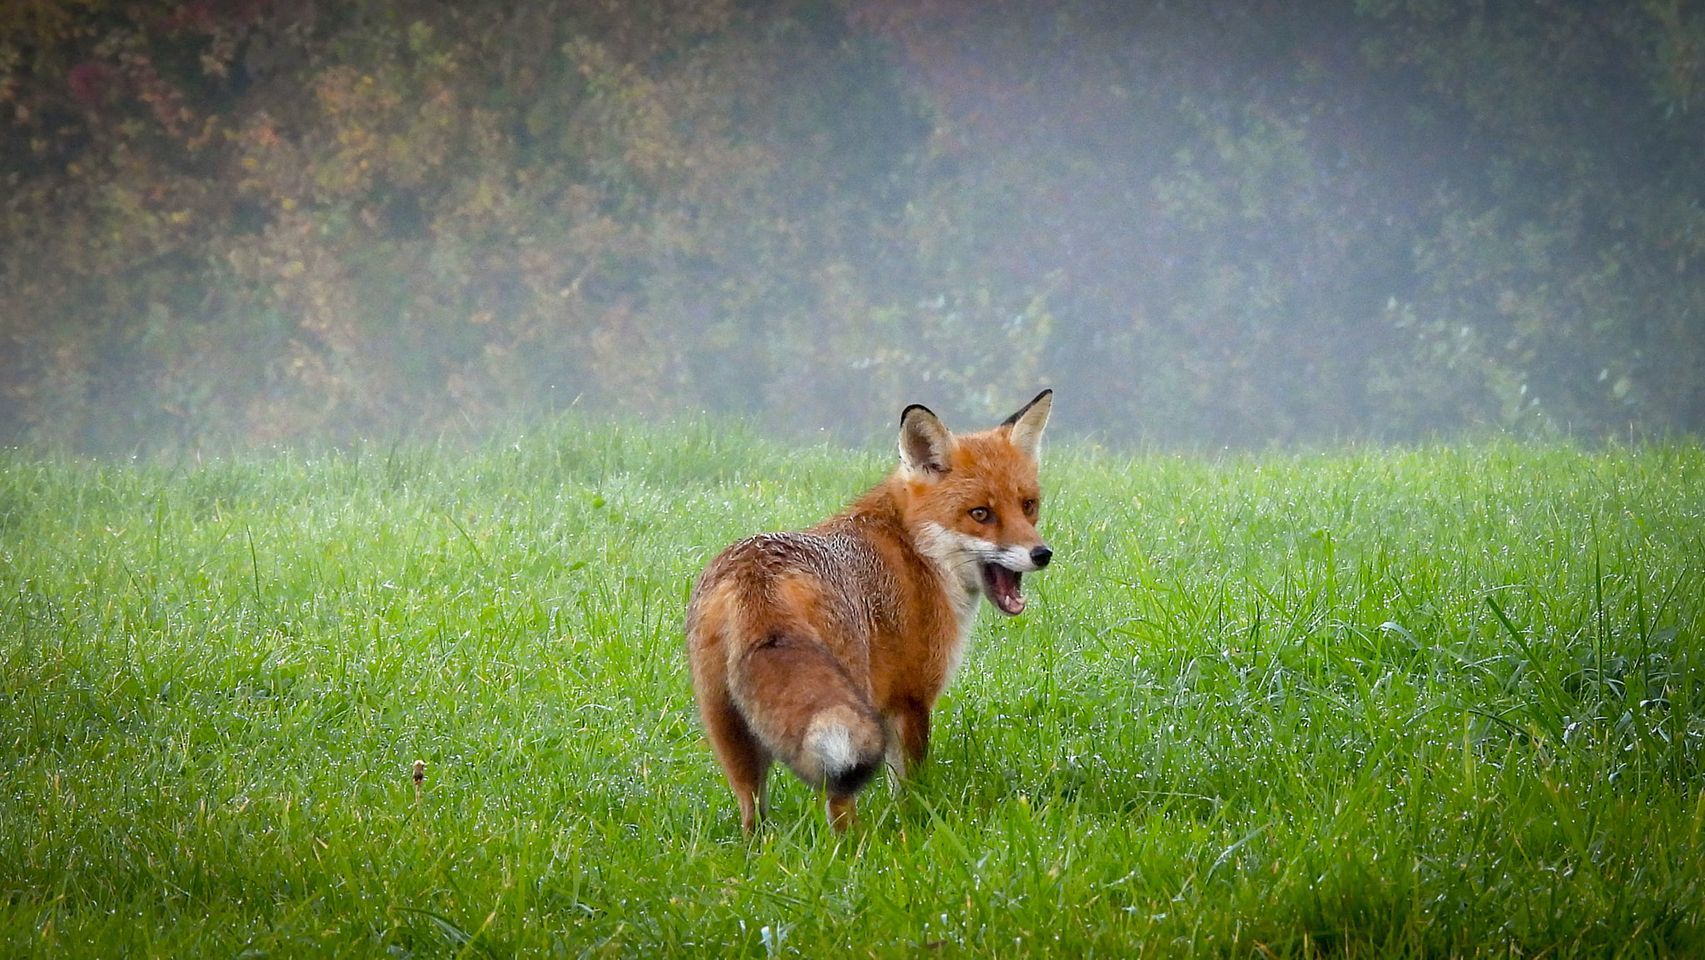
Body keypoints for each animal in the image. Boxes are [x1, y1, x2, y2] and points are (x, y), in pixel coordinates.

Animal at [678, 390, 1050, 835]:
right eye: (980, 514)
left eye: (1028, 506)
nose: (1042, 554)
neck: (916, 550)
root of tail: (757, 575)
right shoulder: (911, 700)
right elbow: (908, 789)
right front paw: (913, 829)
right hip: (843, 726)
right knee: (838, 803)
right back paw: (854, 847)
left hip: (730, 733)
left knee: (751, 812)